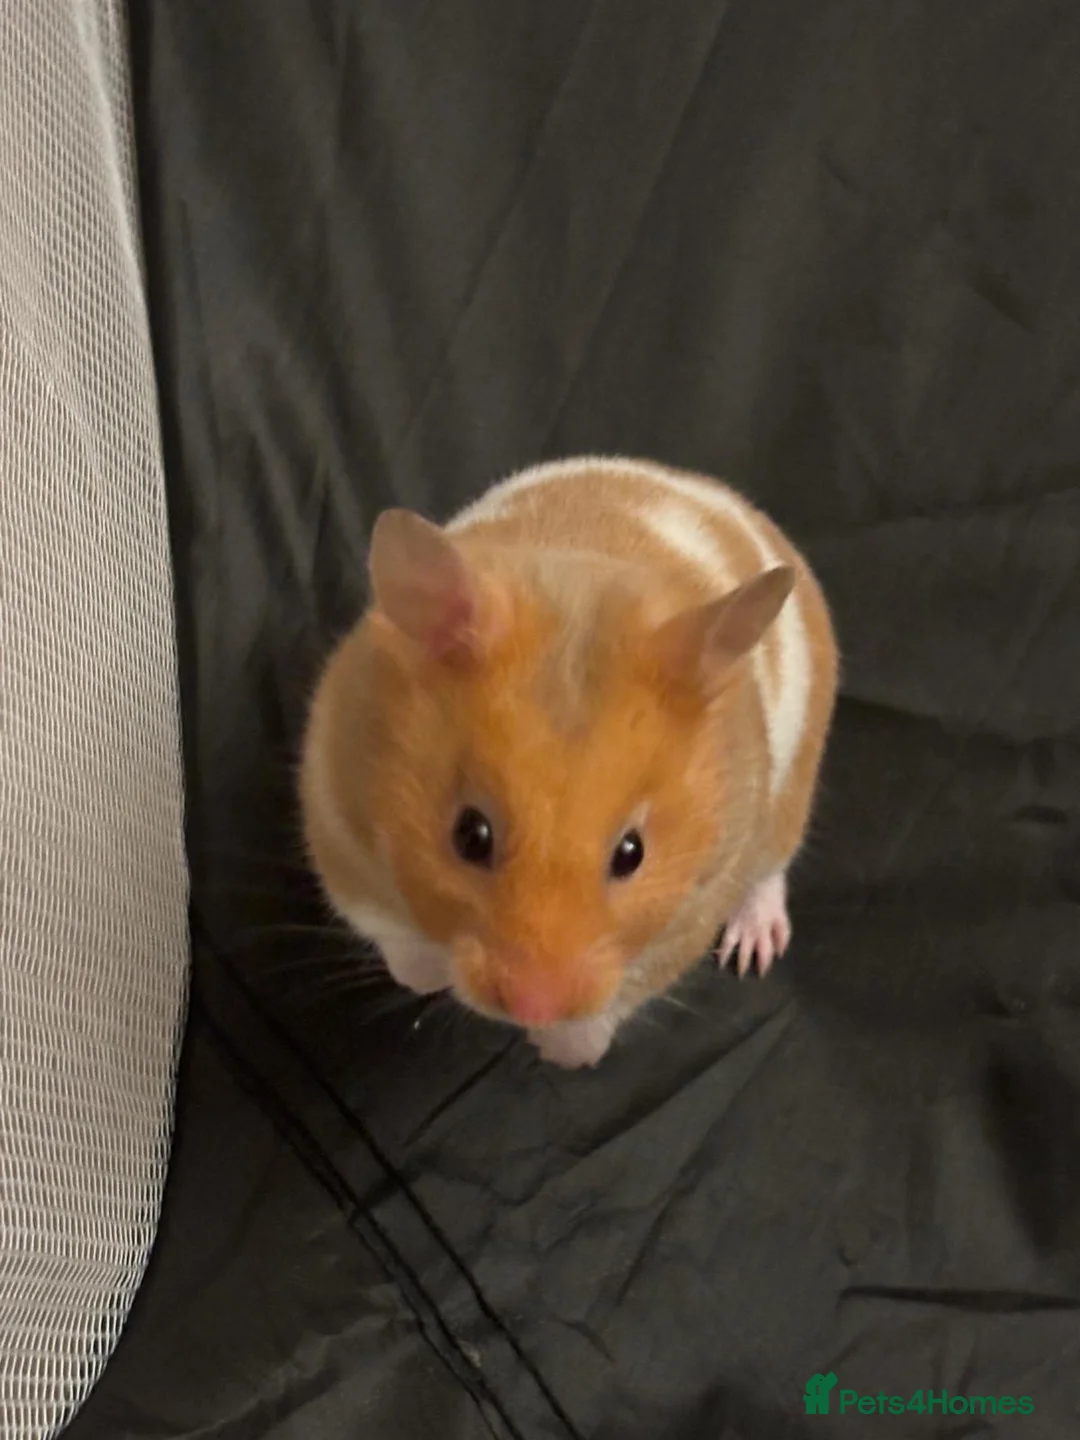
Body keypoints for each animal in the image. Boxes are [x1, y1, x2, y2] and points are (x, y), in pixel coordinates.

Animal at [299, 456, 838, 1069]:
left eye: (632, 853)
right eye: (469, 835)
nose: (533, 1009)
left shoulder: (693, 909)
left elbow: (617, 998)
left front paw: (565, 1054)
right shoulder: (336, 819)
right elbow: (397, 938)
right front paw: (424, 977)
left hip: (789, 796)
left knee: (771, 870)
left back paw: (753, 950)